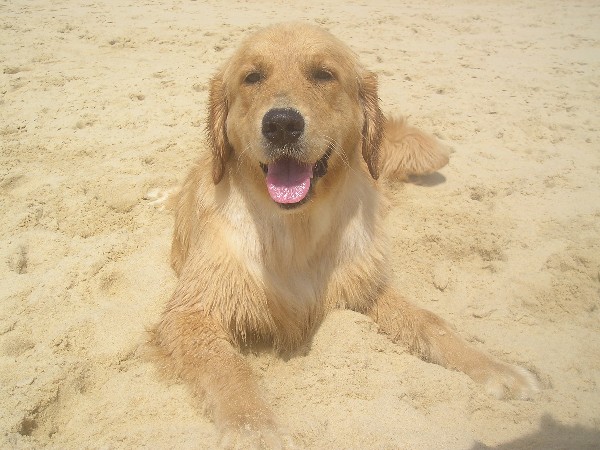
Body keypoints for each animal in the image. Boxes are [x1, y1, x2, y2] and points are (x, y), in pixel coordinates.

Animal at [152, 22, 538, 448]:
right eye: (252, 77)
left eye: (324, 74)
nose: (282, 124)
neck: (295, 230)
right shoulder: (192, 314)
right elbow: (229, 369)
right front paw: (255, 430)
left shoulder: (363, 283)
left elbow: (429, 321)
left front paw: (496, 368)